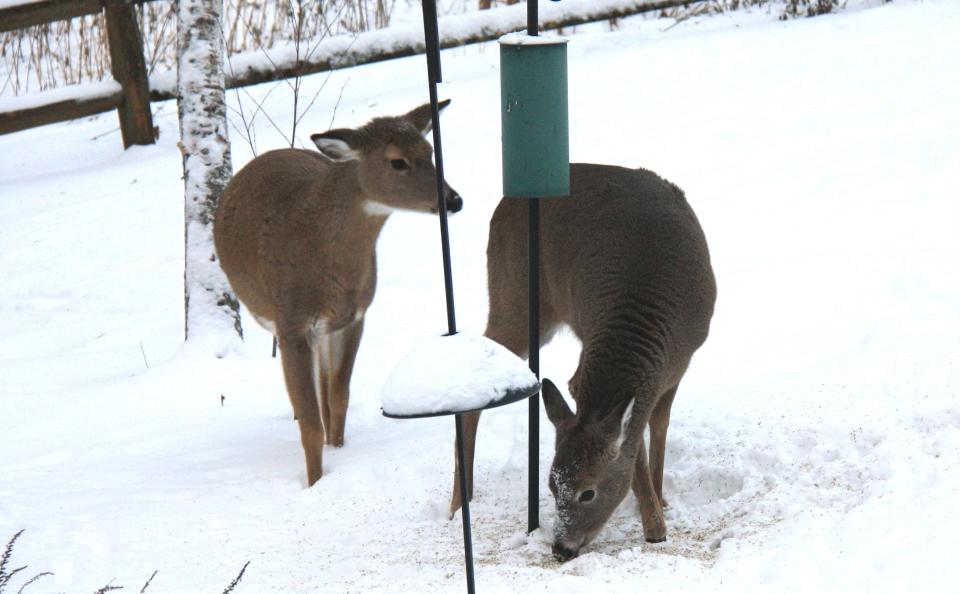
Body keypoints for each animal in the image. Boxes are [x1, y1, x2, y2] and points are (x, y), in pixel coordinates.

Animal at [216, 99, 464, 484]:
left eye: (430, 151)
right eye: (397, 161)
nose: (453, 201)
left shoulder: (354, 317)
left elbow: (338, 398)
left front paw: (338, 452)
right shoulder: (292, 324)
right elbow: (310, 423)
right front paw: (315, 482)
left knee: (324, 393)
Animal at [450, 161, 712, 556]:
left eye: (588, 493)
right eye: (551, 486)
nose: (561, 547)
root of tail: (505, 203)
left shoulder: (677, 366)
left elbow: (657, 426)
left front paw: (658, 501)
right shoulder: (587, 378)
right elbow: (634, 445)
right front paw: (655, 525)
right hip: (515, 294)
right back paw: (456, 505)